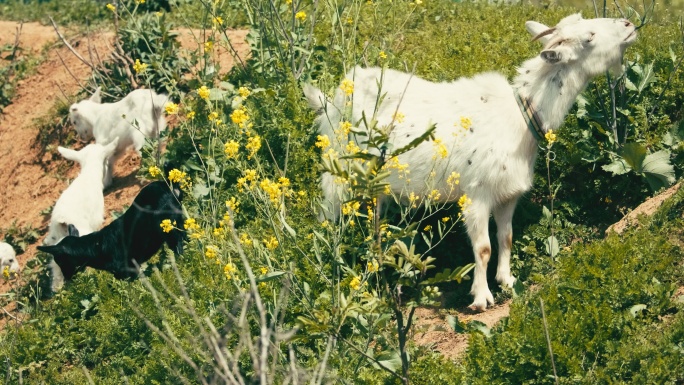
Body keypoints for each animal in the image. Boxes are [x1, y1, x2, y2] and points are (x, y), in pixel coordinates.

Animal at [304, 13, 636, 310]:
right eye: (589, 36)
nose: (629, 24)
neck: (521, 115)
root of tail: (332, 96)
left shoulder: (508, 194)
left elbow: (506, 237)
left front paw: (506, 280)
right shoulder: (476, 195)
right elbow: (484, 247)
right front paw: (481, 298)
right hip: (337, 167)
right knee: (327, 212)